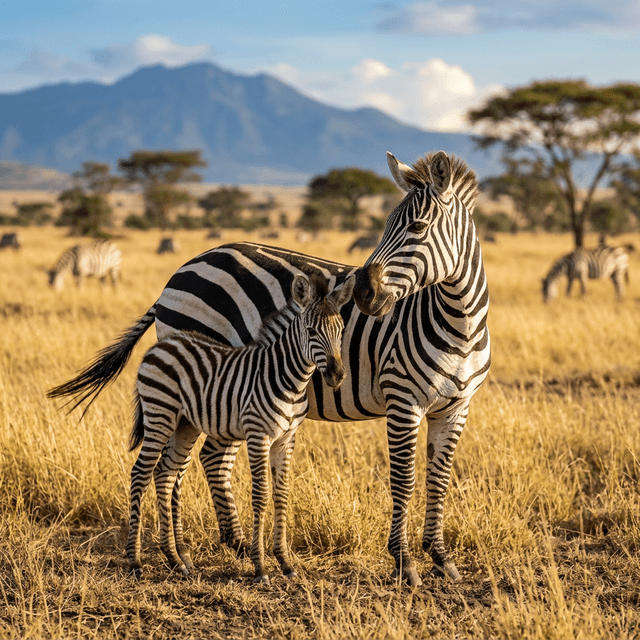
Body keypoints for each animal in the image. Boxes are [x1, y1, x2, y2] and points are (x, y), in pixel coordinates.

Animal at [127, 273, 354, 582]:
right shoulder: (258, 434)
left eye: (341, 330)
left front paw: (285, 563)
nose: (337, 375)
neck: (291, 380)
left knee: (165, 473)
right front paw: (260, 567)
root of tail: (160, 346)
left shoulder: (287, 439)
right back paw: (135, 561)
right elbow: (261, 496)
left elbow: (282, 495)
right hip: (159, 415)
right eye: (311, 331)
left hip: (185, 424)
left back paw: (176, 559)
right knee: (140, 473)